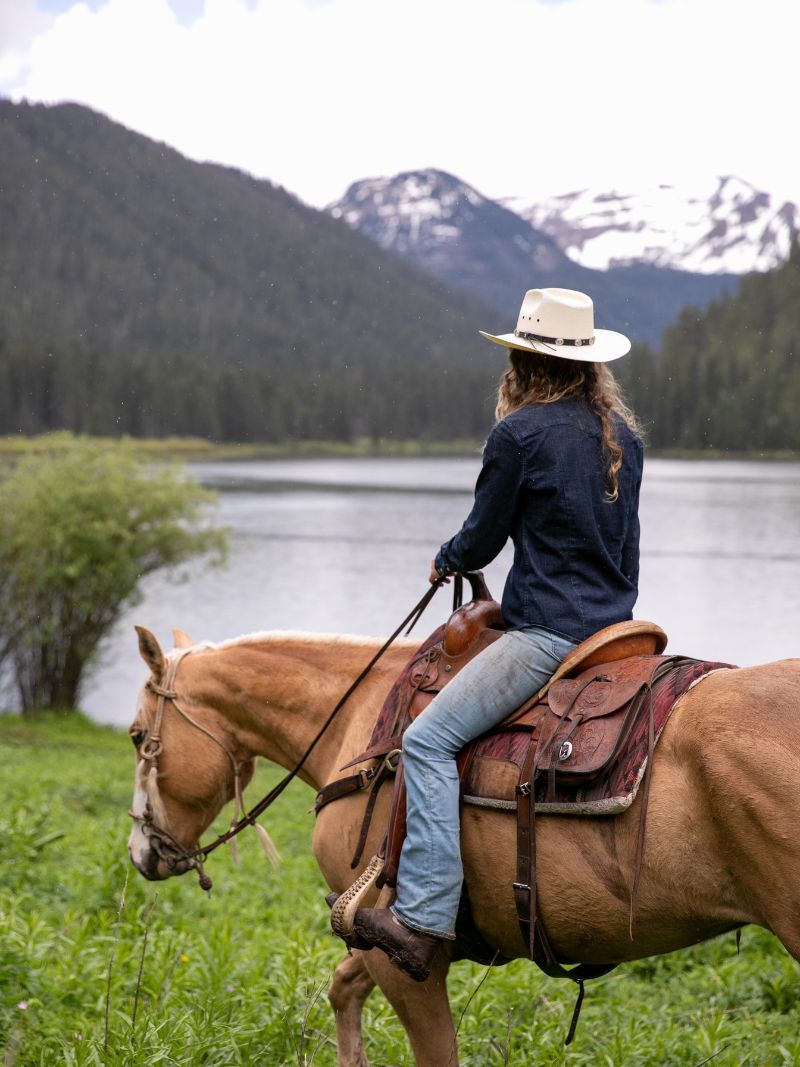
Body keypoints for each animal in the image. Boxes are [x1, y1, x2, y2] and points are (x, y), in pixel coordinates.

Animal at [128, 623, 800, 1067]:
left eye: (137, 736)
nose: (141, 853)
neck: (357, 728)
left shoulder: (404, 955)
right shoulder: (386, 935)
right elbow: (342, 989)